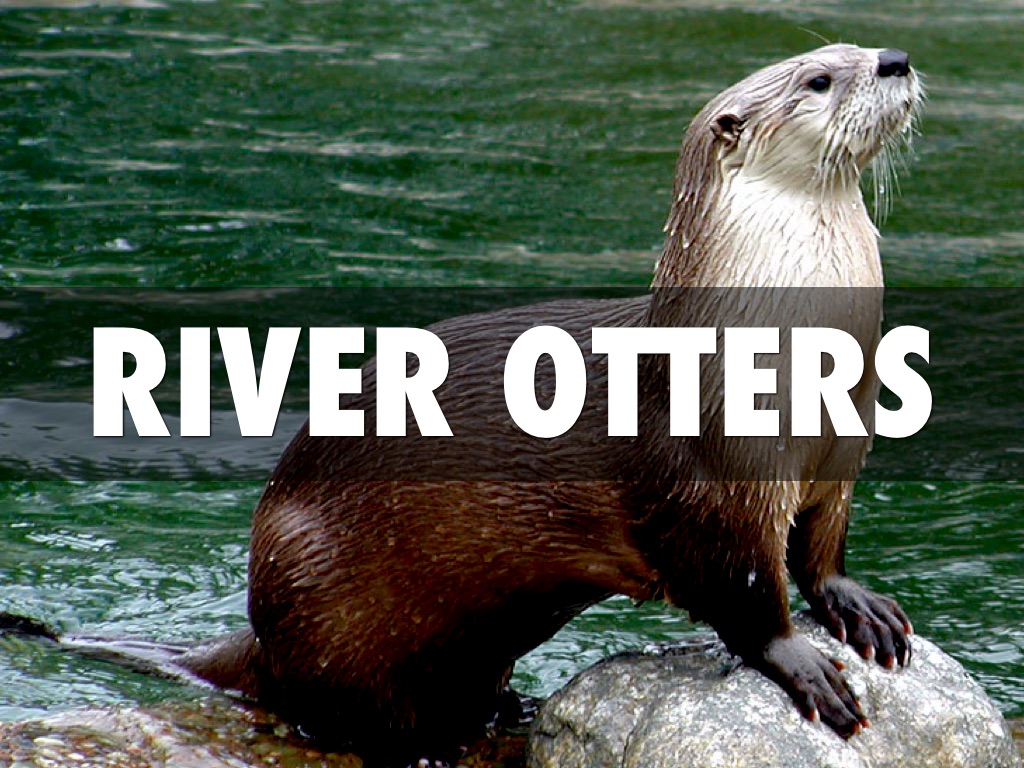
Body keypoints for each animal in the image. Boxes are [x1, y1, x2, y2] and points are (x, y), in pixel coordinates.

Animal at [7, 45, 924, 766]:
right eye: (818, 78)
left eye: (850, 47)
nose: (895, 59)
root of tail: (259, 623)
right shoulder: (706, 481)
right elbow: (743, 591)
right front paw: (801, 663)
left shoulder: (839, 452)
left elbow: (820, 549)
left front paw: (858, 606)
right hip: (324, 594)